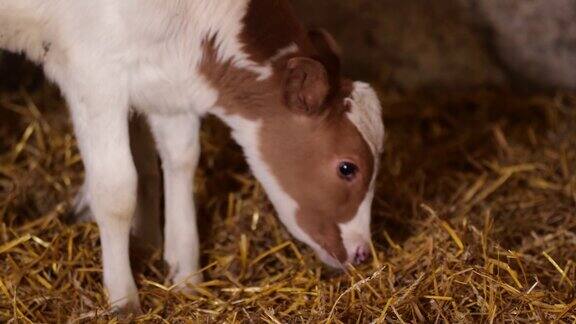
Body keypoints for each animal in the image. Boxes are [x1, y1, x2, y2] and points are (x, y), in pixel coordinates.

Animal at [1, 0, 388, 314]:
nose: (362, 253)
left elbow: (181, 159)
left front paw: (186, 276)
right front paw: (123, 298)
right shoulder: (95, 75)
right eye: (347, 167)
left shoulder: (169, 82)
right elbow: (117, 193)